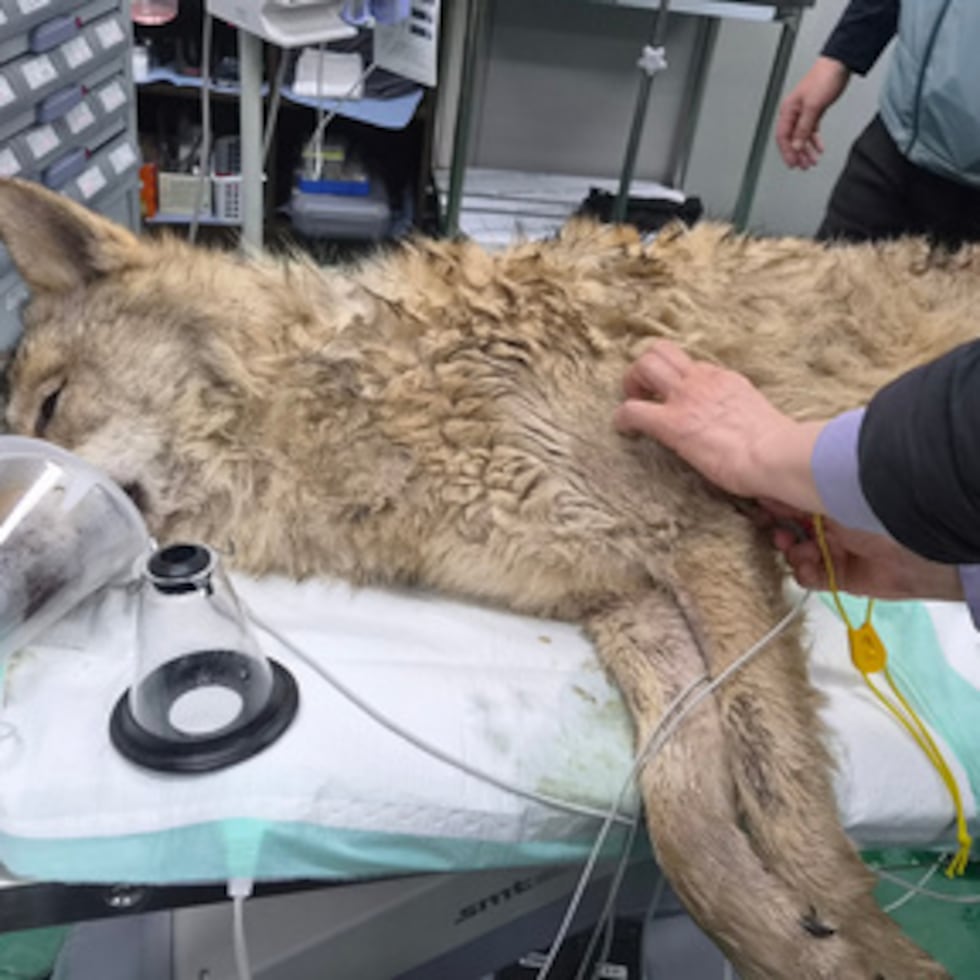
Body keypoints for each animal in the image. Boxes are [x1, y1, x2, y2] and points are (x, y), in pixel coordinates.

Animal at [0, 176, 973, 978]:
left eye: (51, 407)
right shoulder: (626, 603)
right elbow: (685, 815)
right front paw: (795, 942)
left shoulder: (706, 537)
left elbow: (784, 799)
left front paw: (873, 947)